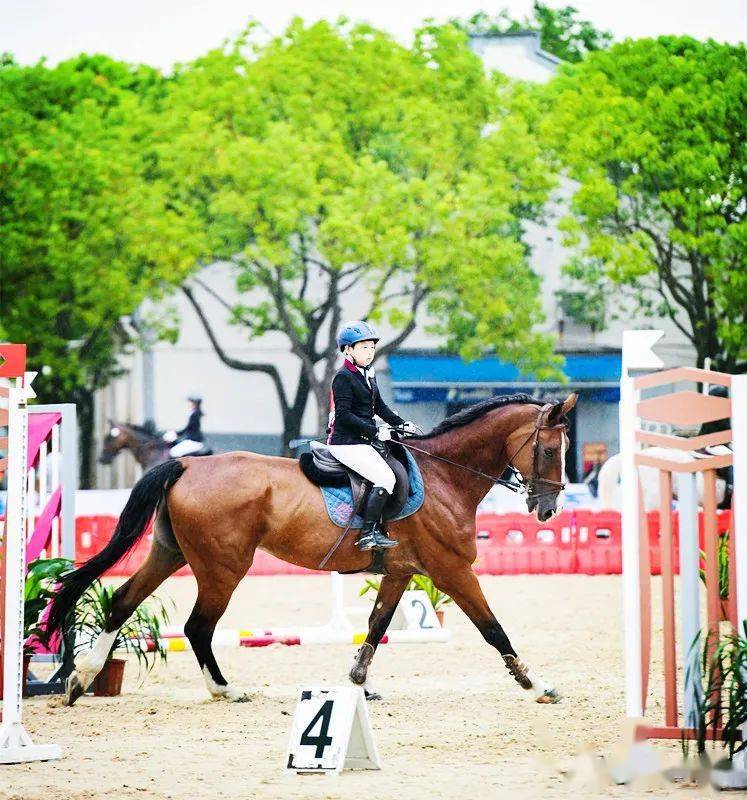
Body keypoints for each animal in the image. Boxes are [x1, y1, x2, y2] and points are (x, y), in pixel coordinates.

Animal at [47, 392, 577, 708]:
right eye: (551, 450)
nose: (548, 509)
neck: (447, 474)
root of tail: (188, 466)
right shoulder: (451, 570)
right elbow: (493, 628)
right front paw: (536, 683)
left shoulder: (401, 571)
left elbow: (377, 625)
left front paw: (359, 682)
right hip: (223, 567)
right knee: (198, 626)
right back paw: (224, 689)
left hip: (170, 553)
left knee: (122, 601)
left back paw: (81, 680)